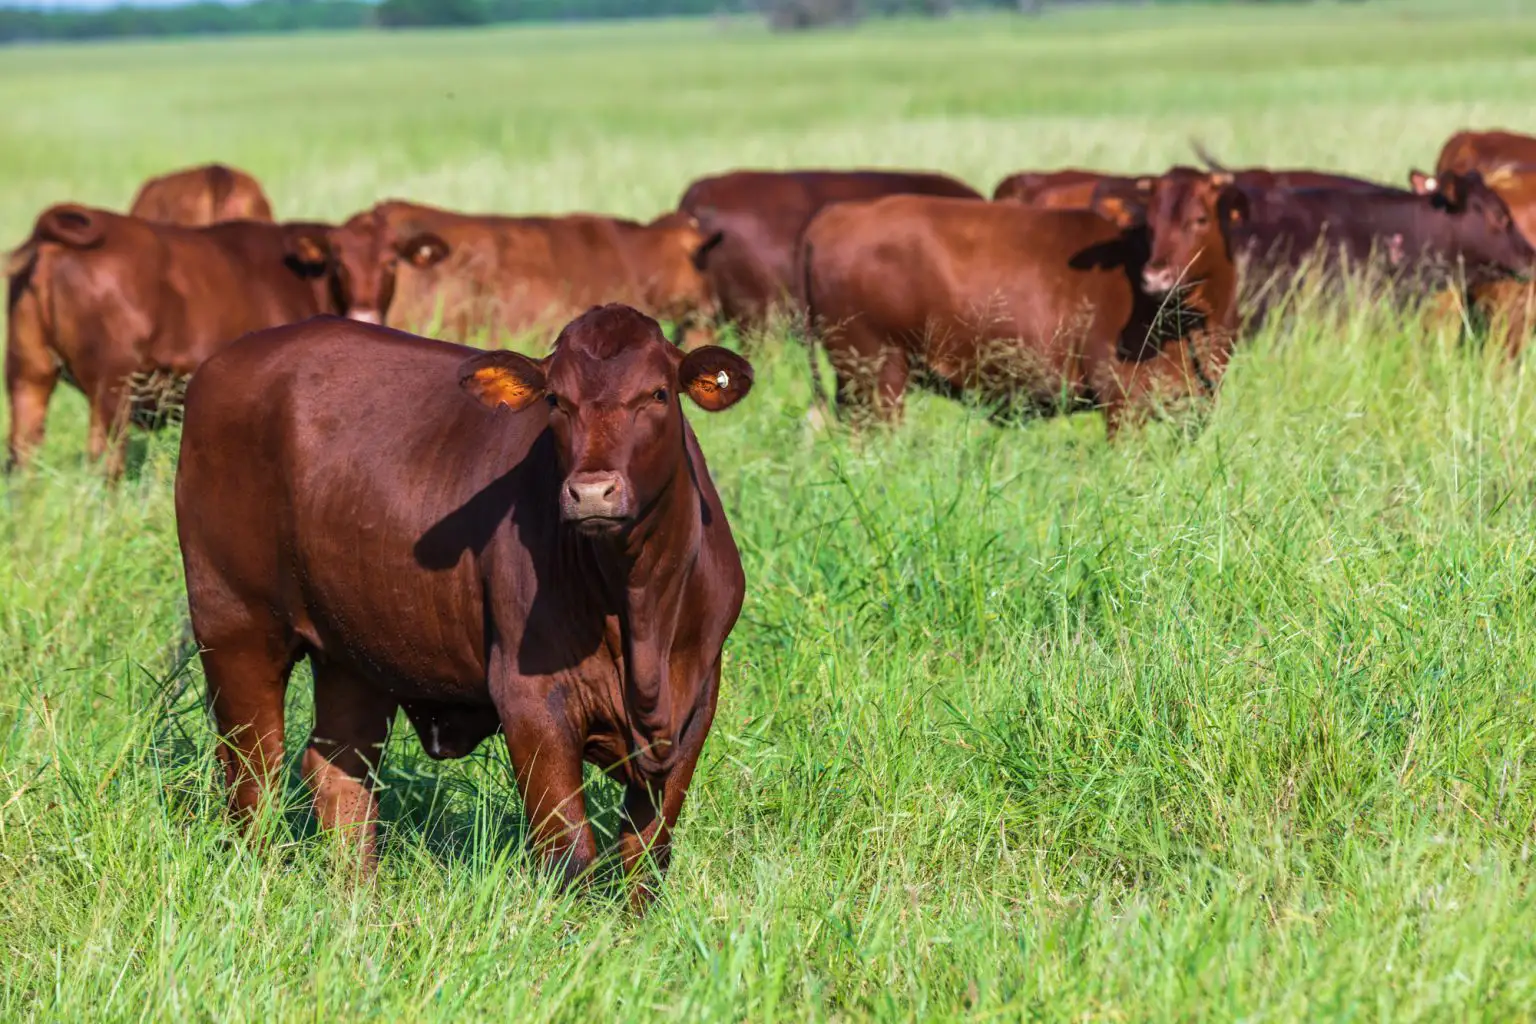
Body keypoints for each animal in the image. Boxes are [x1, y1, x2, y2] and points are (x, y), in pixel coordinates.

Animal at [174, 304, 753, 908]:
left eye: (658, 393)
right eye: (556, 400)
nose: (592, 492)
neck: (637, 608)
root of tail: (231, 359)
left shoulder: (696, 702)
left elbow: (647, 855)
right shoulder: (531, 703)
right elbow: (569, 852)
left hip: (355, 652)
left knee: (338, 769)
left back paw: (360, 899)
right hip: (233, 621)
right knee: (253, 772)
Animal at [799, 172, 1243, 435]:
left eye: (1200, 219)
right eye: (1149, 224)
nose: (1156, 277)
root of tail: (833, 217)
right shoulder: (1121, 400)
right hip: (876, 374)